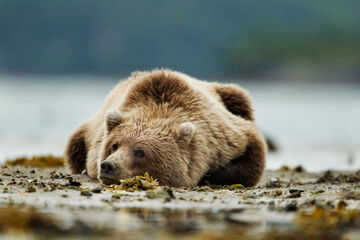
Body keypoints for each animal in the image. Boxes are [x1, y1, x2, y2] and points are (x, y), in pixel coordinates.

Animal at [64, 69, 268, 188]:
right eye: (114, 145)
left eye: (140, 152)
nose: (108, 165)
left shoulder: (222, 135)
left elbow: (252, 152)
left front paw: (211, 175)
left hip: (231, 96)